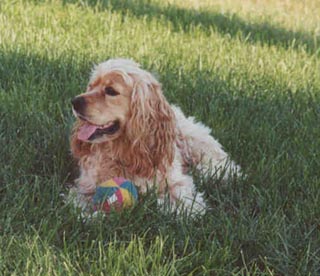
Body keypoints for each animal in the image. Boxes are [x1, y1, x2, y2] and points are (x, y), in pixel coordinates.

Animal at [70, 58, 240, 213]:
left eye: (111, 91)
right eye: (91, 86)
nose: (74, 101)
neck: (123, 153)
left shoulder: (176, 181)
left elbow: (183, 201)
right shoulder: (86, 185)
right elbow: (80, 203)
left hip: (196, 142)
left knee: (225, 167)